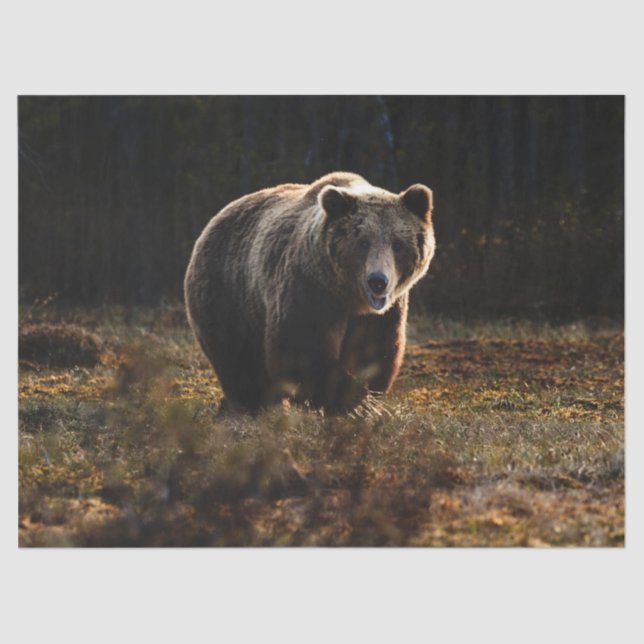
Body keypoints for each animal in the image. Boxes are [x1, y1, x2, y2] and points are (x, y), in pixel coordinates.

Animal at [184, 172, 435, 414]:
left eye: (397, 244)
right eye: (363, 242)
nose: (378, 282)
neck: (348, 296)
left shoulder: (382, 314)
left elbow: (373, 351)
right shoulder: (308, 289)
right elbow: (301, 348)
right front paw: (352, 401)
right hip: (228, 294)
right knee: (236, 358)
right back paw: (250, 404)